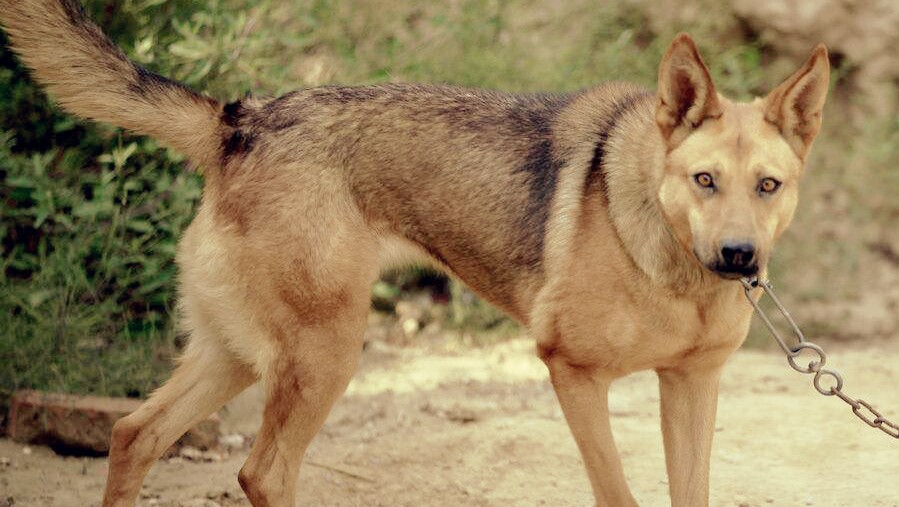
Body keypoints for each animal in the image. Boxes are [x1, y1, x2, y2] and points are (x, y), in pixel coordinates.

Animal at [0, 1, 828, 506]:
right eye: (702, 179)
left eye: (767, 185)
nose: (737, 255)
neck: (675, 269)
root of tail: (240, 119)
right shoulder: (573, 373)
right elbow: (617, 492)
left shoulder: (691, 386)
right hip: (323, 354)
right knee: (261, 470)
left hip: (235, 354)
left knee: (132, 434)